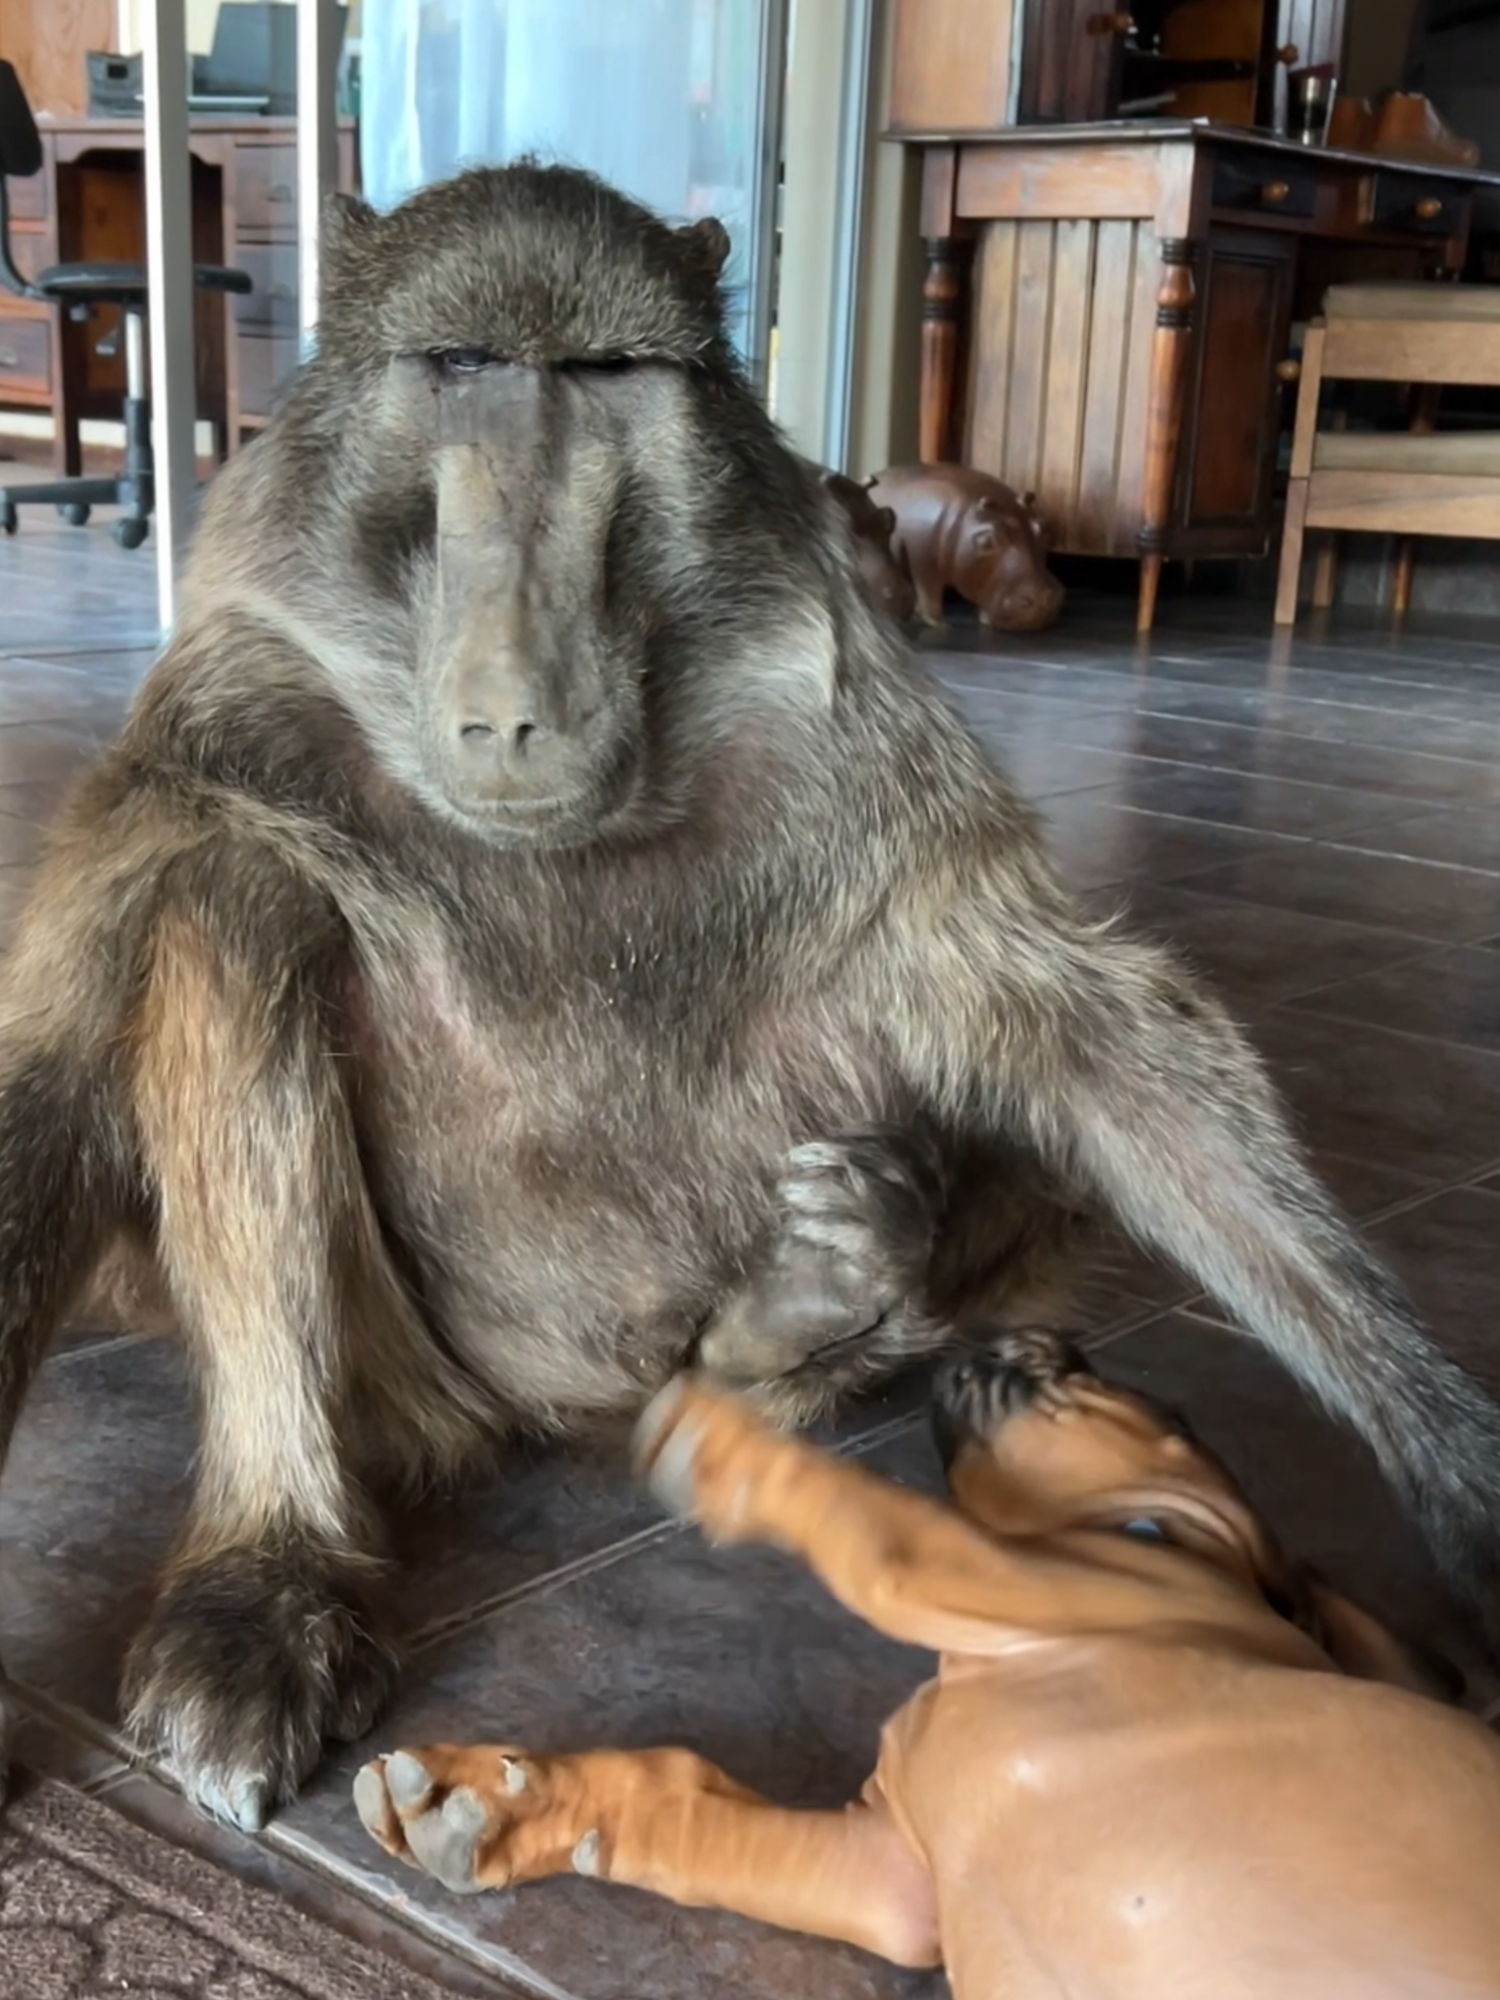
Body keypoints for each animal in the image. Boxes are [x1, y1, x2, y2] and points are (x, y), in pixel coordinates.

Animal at [356, 1336, 1500, 1992]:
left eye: (1163, 1409)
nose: (1052, 1329)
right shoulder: (892, 1875)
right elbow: (684, 1804)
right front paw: (508, 1807)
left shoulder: (1018, 1572)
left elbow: (880, 1528)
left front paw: (734, 1444)